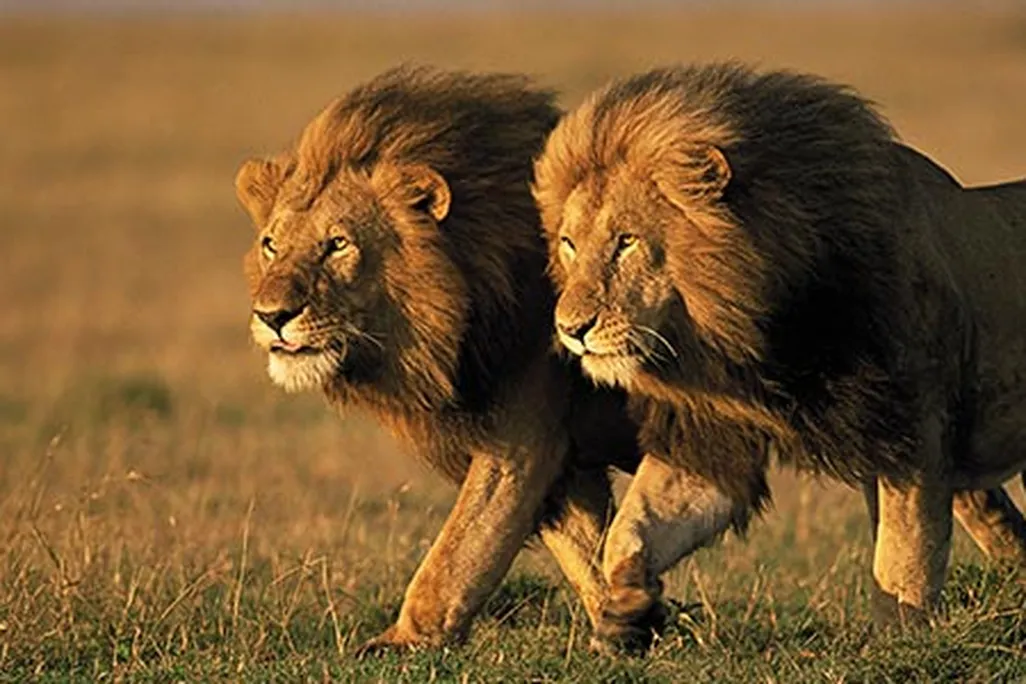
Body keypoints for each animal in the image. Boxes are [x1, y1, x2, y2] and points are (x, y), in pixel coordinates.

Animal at [234, 67, 643, 653]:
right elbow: (590, 550)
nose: (271, 316)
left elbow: (459, 551)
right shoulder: (564, 459)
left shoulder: (521, 439)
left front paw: (403, 640)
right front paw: (633, 627)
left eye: (338, 244)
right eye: (270, 244)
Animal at [532, 63, 1026, 642]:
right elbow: (632, 532)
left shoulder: (914, 431)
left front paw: (899, 643)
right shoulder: (713, 433)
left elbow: (903, 559)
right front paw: (626, 611)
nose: (570, 329)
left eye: (626, 241)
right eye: (569, 244)